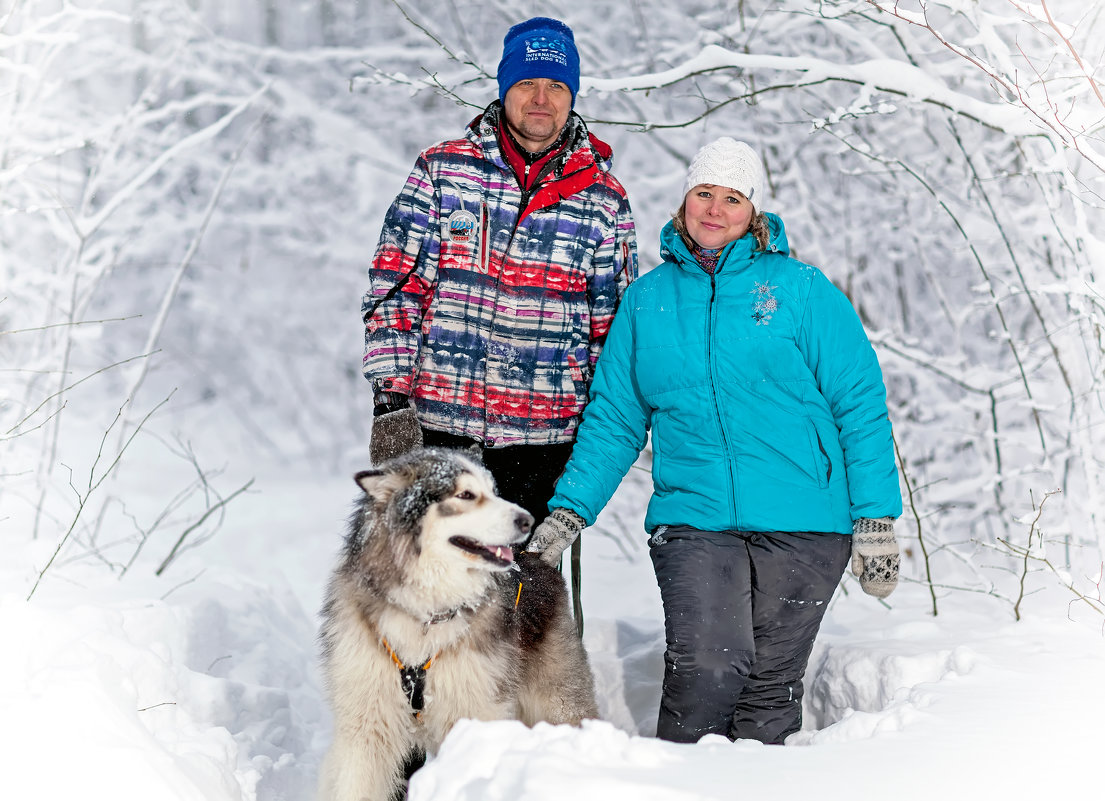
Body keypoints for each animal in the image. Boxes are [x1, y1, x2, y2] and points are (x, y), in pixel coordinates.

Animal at [316, 450, 601, 799]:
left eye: (493, 491)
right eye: (466, 494)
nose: (527, 521)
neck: (426, 612)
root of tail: (535, 559)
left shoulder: (476, 711)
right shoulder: (368, 722)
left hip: (556, 701)